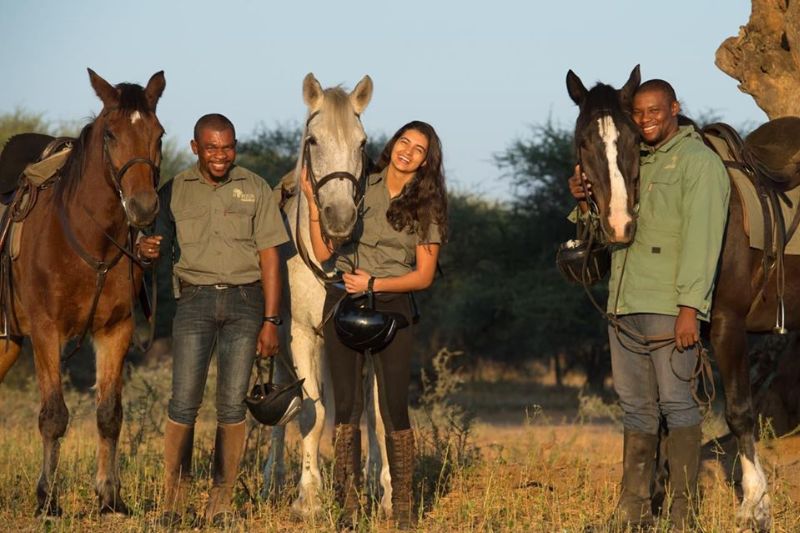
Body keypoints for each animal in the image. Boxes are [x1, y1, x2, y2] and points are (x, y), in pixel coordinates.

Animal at [0, 69, 165, 515]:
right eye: (110, 134)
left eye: (159, 134)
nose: (143, 208)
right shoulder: (46, 332)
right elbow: (54, 416)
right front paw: (46, 499)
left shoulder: (115, 331)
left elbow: (109, 414)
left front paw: (110, 497)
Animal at [261, 73, 393, 517]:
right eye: (313, 140)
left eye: (363, 142)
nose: (340, 218)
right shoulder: (301, 335)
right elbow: (309, 414)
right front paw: (309, 498)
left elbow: (376, 415)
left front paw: (385, 493)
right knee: (287, 403)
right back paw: (273, 479)